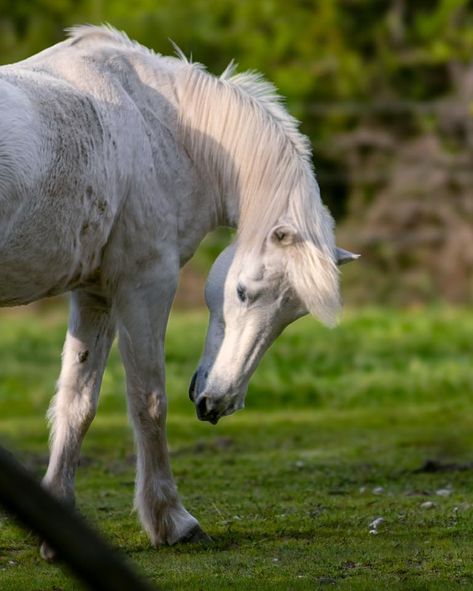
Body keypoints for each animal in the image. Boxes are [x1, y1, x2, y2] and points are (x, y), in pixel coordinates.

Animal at [0, 25, 358, 556]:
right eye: (243, 293)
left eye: (291, 316)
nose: (219, 403)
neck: (165, 125)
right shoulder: (144, 286)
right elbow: (149, 403)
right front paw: (172, 521)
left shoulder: (95, 295)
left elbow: (76, 404)